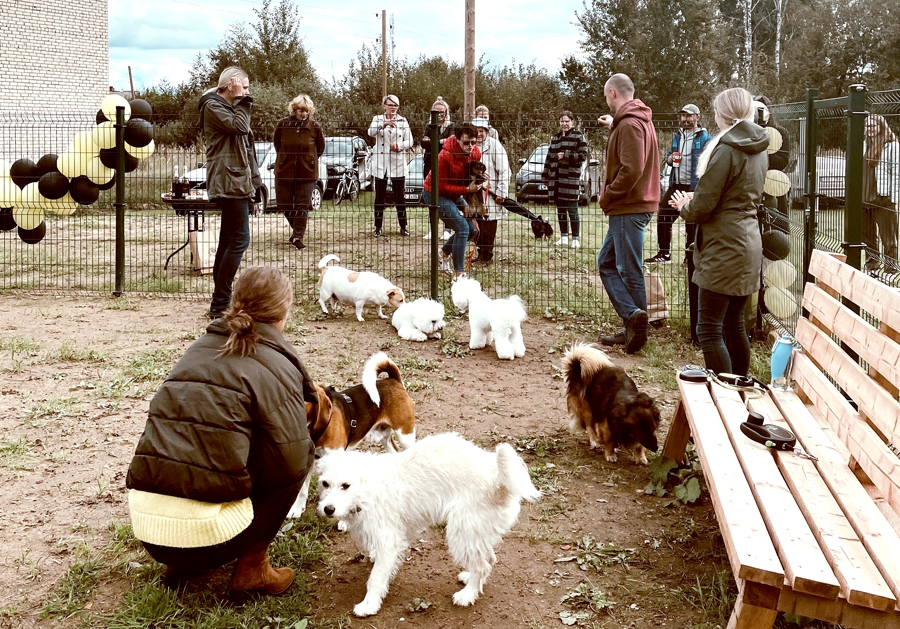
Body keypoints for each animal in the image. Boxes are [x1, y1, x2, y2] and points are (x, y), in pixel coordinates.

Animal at [316, 432, 540, 612]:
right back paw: (470, 581)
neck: (367, 489)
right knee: (489, 559)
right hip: (475, 533)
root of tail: (498, 480)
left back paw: (467, 595)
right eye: (325, 483)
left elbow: (376, 578)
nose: (328, 509)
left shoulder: (389, 543)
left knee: (482, 566)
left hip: (462, 532)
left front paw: (369, 605)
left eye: (346, 485)